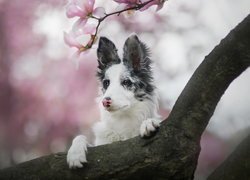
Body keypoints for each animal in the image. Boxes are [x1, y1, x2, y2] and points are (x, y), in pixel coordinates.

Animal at [67, 34, 162, 169]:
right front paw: (75, 154)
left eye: (126, 82)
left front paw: (149, 123)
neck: (123, 120)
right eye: (106, 83)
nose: (105, 102)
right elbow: (80, 137)